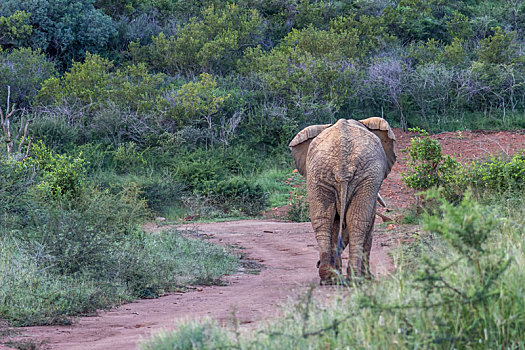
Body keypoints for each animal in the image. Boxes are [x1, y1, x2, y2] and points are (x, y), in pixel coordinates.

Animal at [288, 117, 396, 284]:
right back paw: (355, 280)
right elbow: (367, 223)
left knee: (322, 219)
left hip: (319, 173)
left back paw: (329, 278)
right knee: (358, 222)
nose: (316, 263)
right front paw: (368, 278)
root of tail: (342, 165)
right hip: (367, 176)